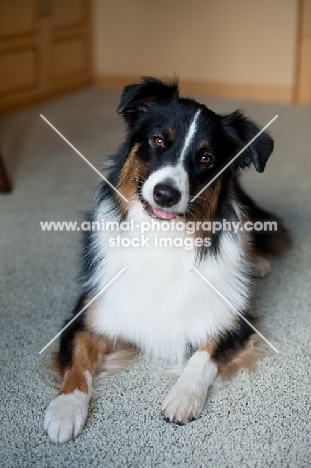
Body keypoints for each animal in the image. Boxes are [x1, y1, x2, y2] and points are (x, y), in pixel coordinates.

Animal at [42, 77, 292, 442]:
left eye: (206, 157)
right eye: (158, 140)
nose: (165, 194)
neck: (160, 236)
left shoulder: (233, 321)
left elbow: (203, 356)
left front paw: (183, 397)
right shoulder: (86, 314)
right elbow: (76, 361)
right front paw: (65, 408)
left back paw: (256, 262)